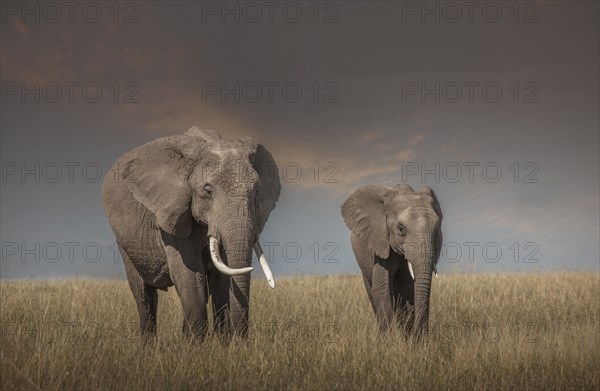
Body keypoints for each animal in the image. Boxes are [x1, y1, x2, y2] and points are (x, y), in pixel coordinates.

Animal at [102, 128, 280, 340]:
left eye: (257, 191)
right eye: (208, 190)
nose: (240, 340)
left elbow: (221, 278)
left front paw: (222, 343)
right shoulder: (172, 214)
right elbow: (190, 274)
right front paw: (196, 345)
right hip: (124, 243)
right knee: (143, 294)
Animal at [342, 185, 440, 338]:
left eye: (436, 229)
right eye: (401, 229)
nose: (422, 335)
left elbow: (407, 290)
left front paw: (409, 338)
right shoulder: (381, 241)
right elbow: (381, 286)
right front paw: (389, 339)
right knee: (372, 292)